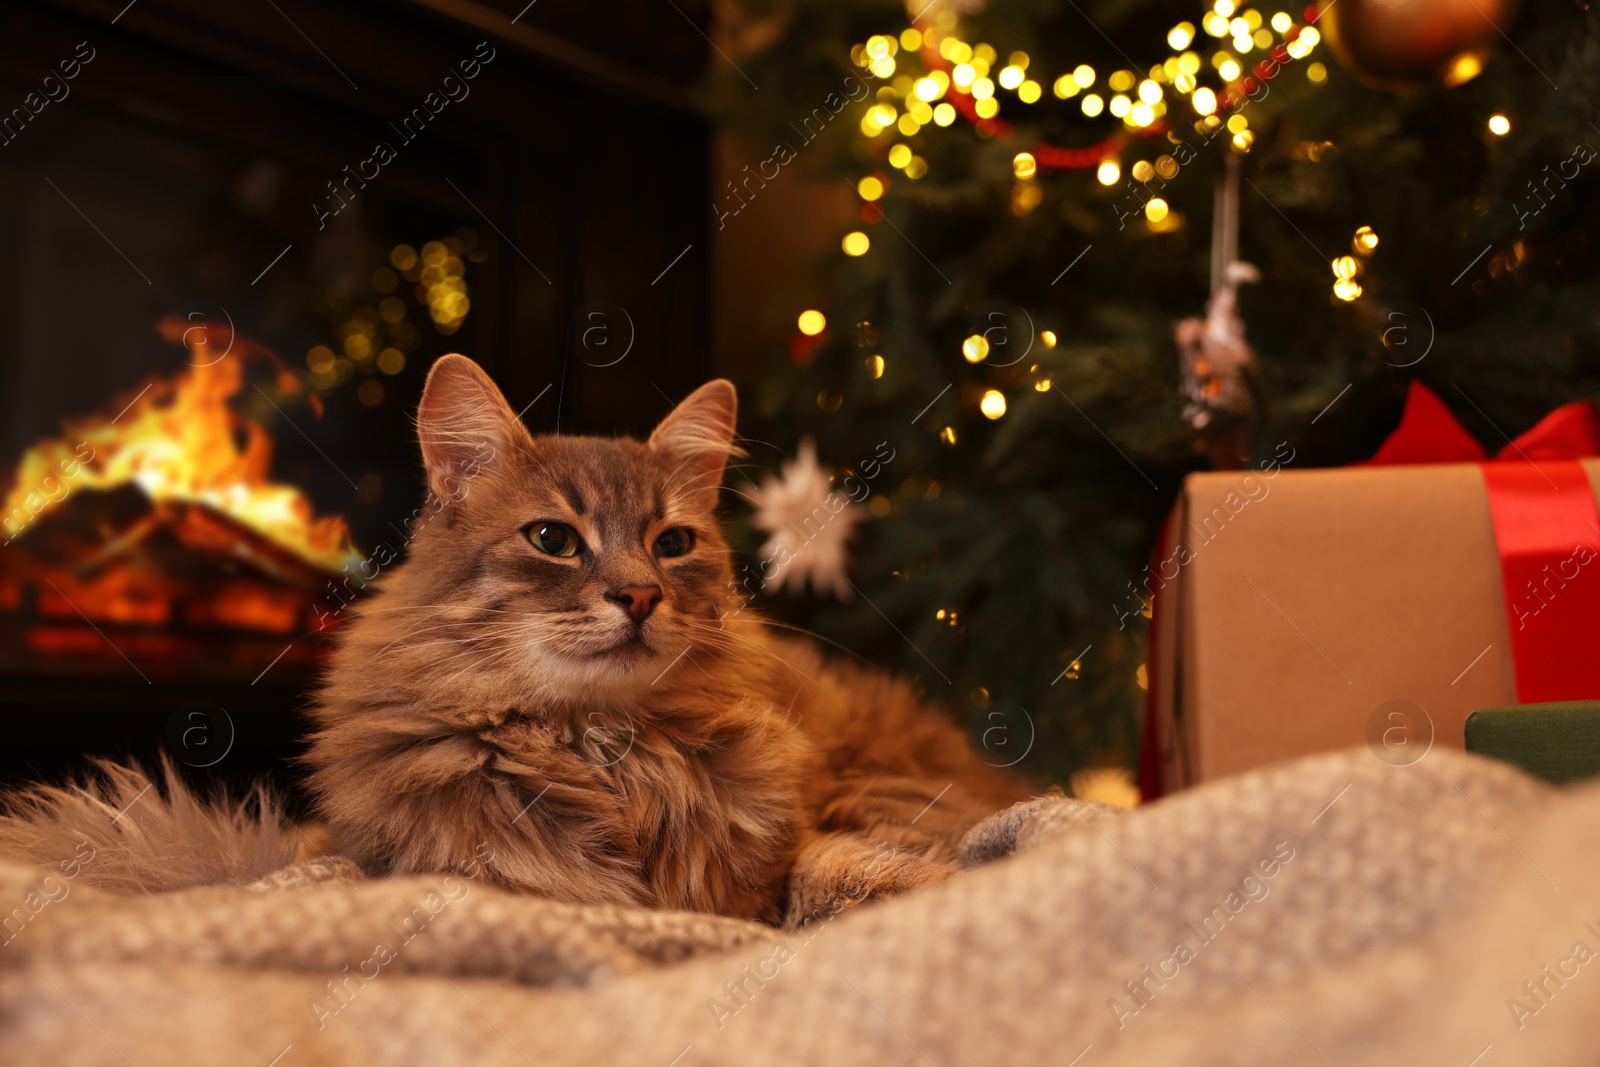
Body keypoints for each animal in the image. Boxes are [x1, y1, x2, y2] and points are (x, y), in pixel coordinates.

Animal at [300, 356, 1030, 927]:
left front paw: (938, 889)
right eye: (552, 539)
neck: (611, 755)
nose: (641, 596)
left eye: (673, 544)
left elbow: (832, 866)